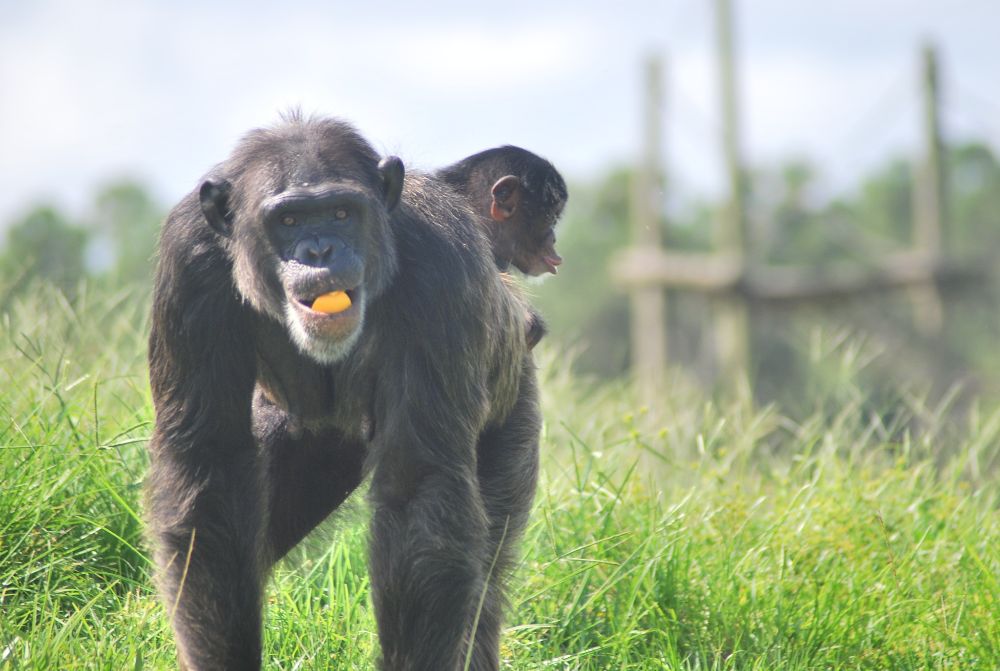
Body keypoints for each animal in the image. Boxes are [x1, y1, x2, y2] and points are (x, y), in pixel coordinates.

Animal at [143, 115, 540, 671]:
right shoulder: (188, 261)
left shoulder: (442, 265)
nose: (319, 250)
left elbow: (419, 486)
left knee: (483, 577)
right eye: (288, 220)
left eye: (341, 212)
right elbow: (210, 470)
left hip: (512, 410)